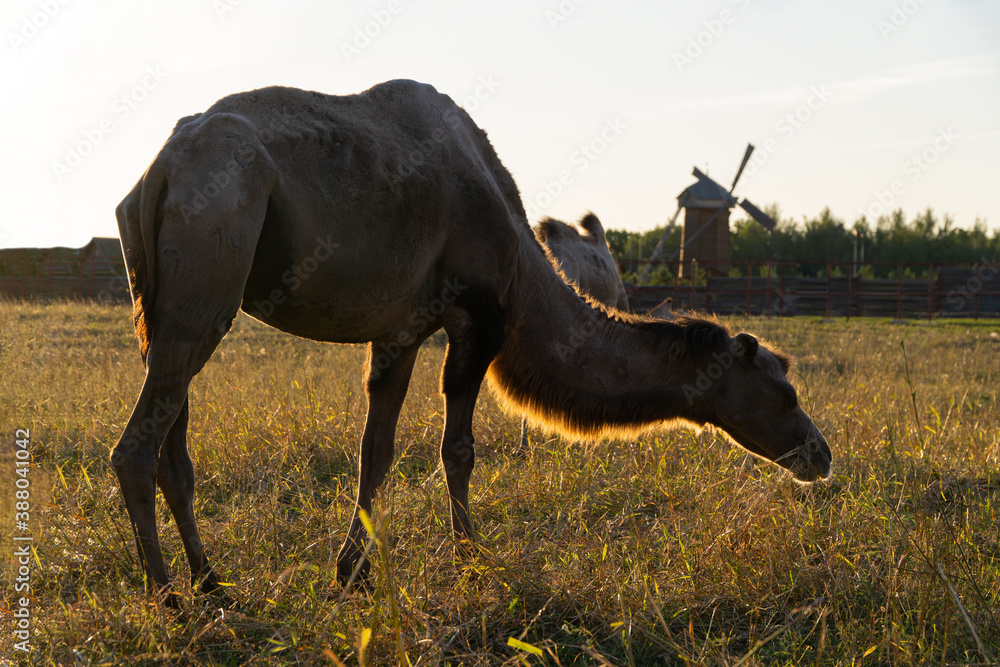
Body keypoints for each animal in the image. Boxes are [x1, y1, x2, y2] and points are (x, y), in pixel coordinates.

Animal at [113, 79, 832, 599]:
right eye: (785, 390)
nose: (821, 454)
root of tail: (158, 173)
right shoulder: (477, 319)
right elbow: (457, 450)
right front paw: (473, 562)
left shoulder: (399, 332)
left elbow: (376, 451)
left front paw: (351, 573)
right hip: (213, 252)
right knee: (136, 448)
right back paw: (169, 597)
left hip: (162, 304)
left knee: (175, 444)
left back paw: (212, 584)